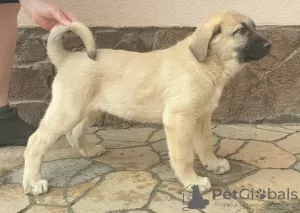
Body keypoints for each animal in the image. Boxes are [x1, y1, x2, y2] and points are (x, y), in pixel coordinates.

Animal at [22, 11, 270, 195]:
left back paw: (90, 151)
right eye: (241, 30)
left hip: (89, 109)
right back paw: (33, 183)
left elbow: (206, 143)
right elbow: (184, 155)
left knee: (74, 133)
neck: (206, 64)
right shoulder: (178, 118)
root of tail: (66, 58)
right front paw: (193, 181)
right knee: (36, 142)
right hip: (68, 110)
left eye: (253, 27)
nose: (269, 46)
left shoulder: (201, 115)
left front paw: (213, 164)